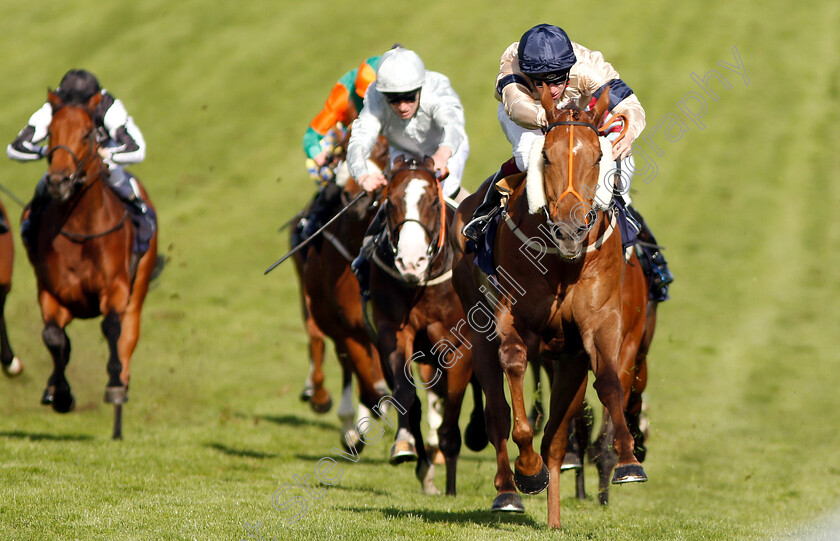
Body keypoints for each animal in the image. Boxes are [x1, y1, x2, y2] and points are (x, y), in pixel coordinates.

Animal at [27, 90, 160, 438]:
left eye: (88, 133)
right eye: (50, 132)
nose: (58, 181)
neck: (81, 229)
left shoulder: (115, 288)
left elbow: (111, 327)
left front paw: (113, 385)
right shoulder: (53, 293)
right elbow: (54, 337)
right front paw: (60, 394)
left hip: (137, 294)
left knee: (126, 341)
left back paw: (118, 408)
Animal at [366, 156, 486, 494]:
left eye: (433, 201)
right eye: (390, 202)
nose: (411, 262)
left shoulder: (459, 347)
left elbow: (450, 420)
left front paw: (451, 488)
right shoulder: (393, 332)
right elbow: (407, 395)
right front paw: (405, 447)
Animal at [452, 88, 648, 528]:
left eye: (598, 156)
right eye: (546, 156)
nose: (571, 229)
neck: (562, 262)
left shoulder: (600, 324)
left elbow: (610, 382)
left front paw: (629, 460)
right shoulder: (511, 318)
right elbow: (513, 372)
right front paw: (528, 471)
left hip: (569, 361)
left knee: (557, 440)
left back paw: (555, 518)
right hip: (479, 333)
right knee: (496, 413)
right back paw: (509, 491)